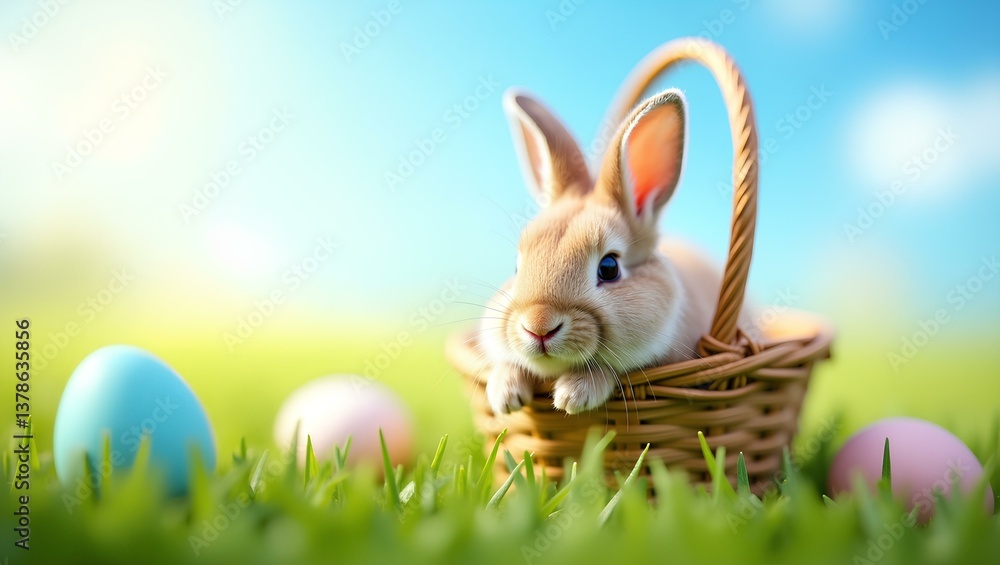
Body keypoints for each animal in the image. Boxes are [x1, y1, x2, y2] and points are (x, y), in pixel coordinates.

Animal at [479, 87, 751, 415]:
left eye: (609, 268)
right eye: (517, 268)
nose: (539, 327)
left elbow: (611, 370)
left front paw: (573, 396)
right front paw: (504, 395)